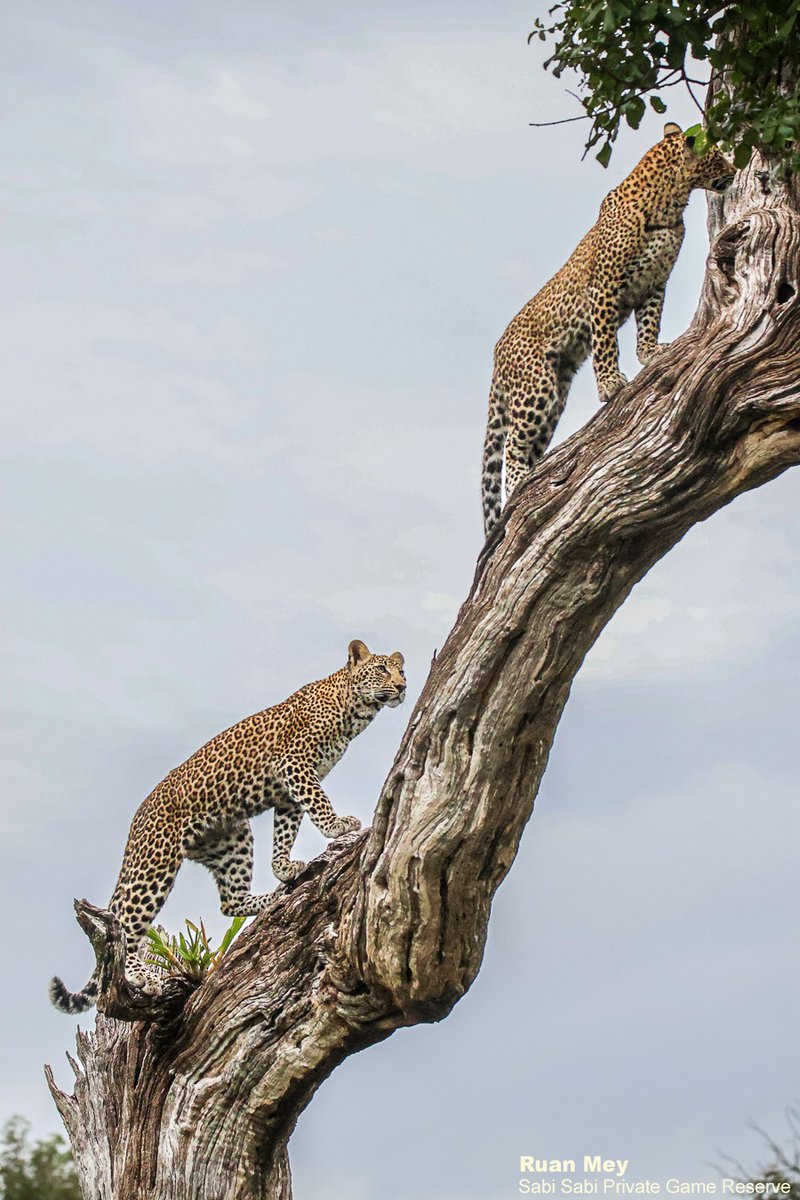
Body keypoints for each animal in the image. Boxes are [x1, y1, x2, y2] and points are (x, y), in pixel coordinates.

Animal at [49, 639, 406, 1013]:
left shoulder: (287, 794)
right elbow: (318, 801)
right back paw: (137, 973)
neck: (352, 710)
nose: (402, 687)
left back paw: (273, 897)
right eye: (382, 669)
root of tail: (137, 819)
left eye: (402, 670)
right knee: (126, 924)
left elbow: (284, 834)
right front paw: (337, 826)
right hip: (155, 864)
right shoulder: (294, 765)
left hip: (231, 840)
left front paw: (284, 868)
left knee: (228, 902)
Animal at [481, 122, 736, 536]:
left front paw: (651, 353)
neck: (670, 201)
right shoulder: (603, 287)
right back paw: (519, 483)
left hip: (556, 391)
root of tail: (497, 352)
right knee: (513, 446)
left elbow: (649, 323)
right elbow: (605, 342)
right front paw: (611, 384)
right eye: (715, 156)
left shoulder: (655, 283)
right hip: (535, 387)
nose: (732, 170)